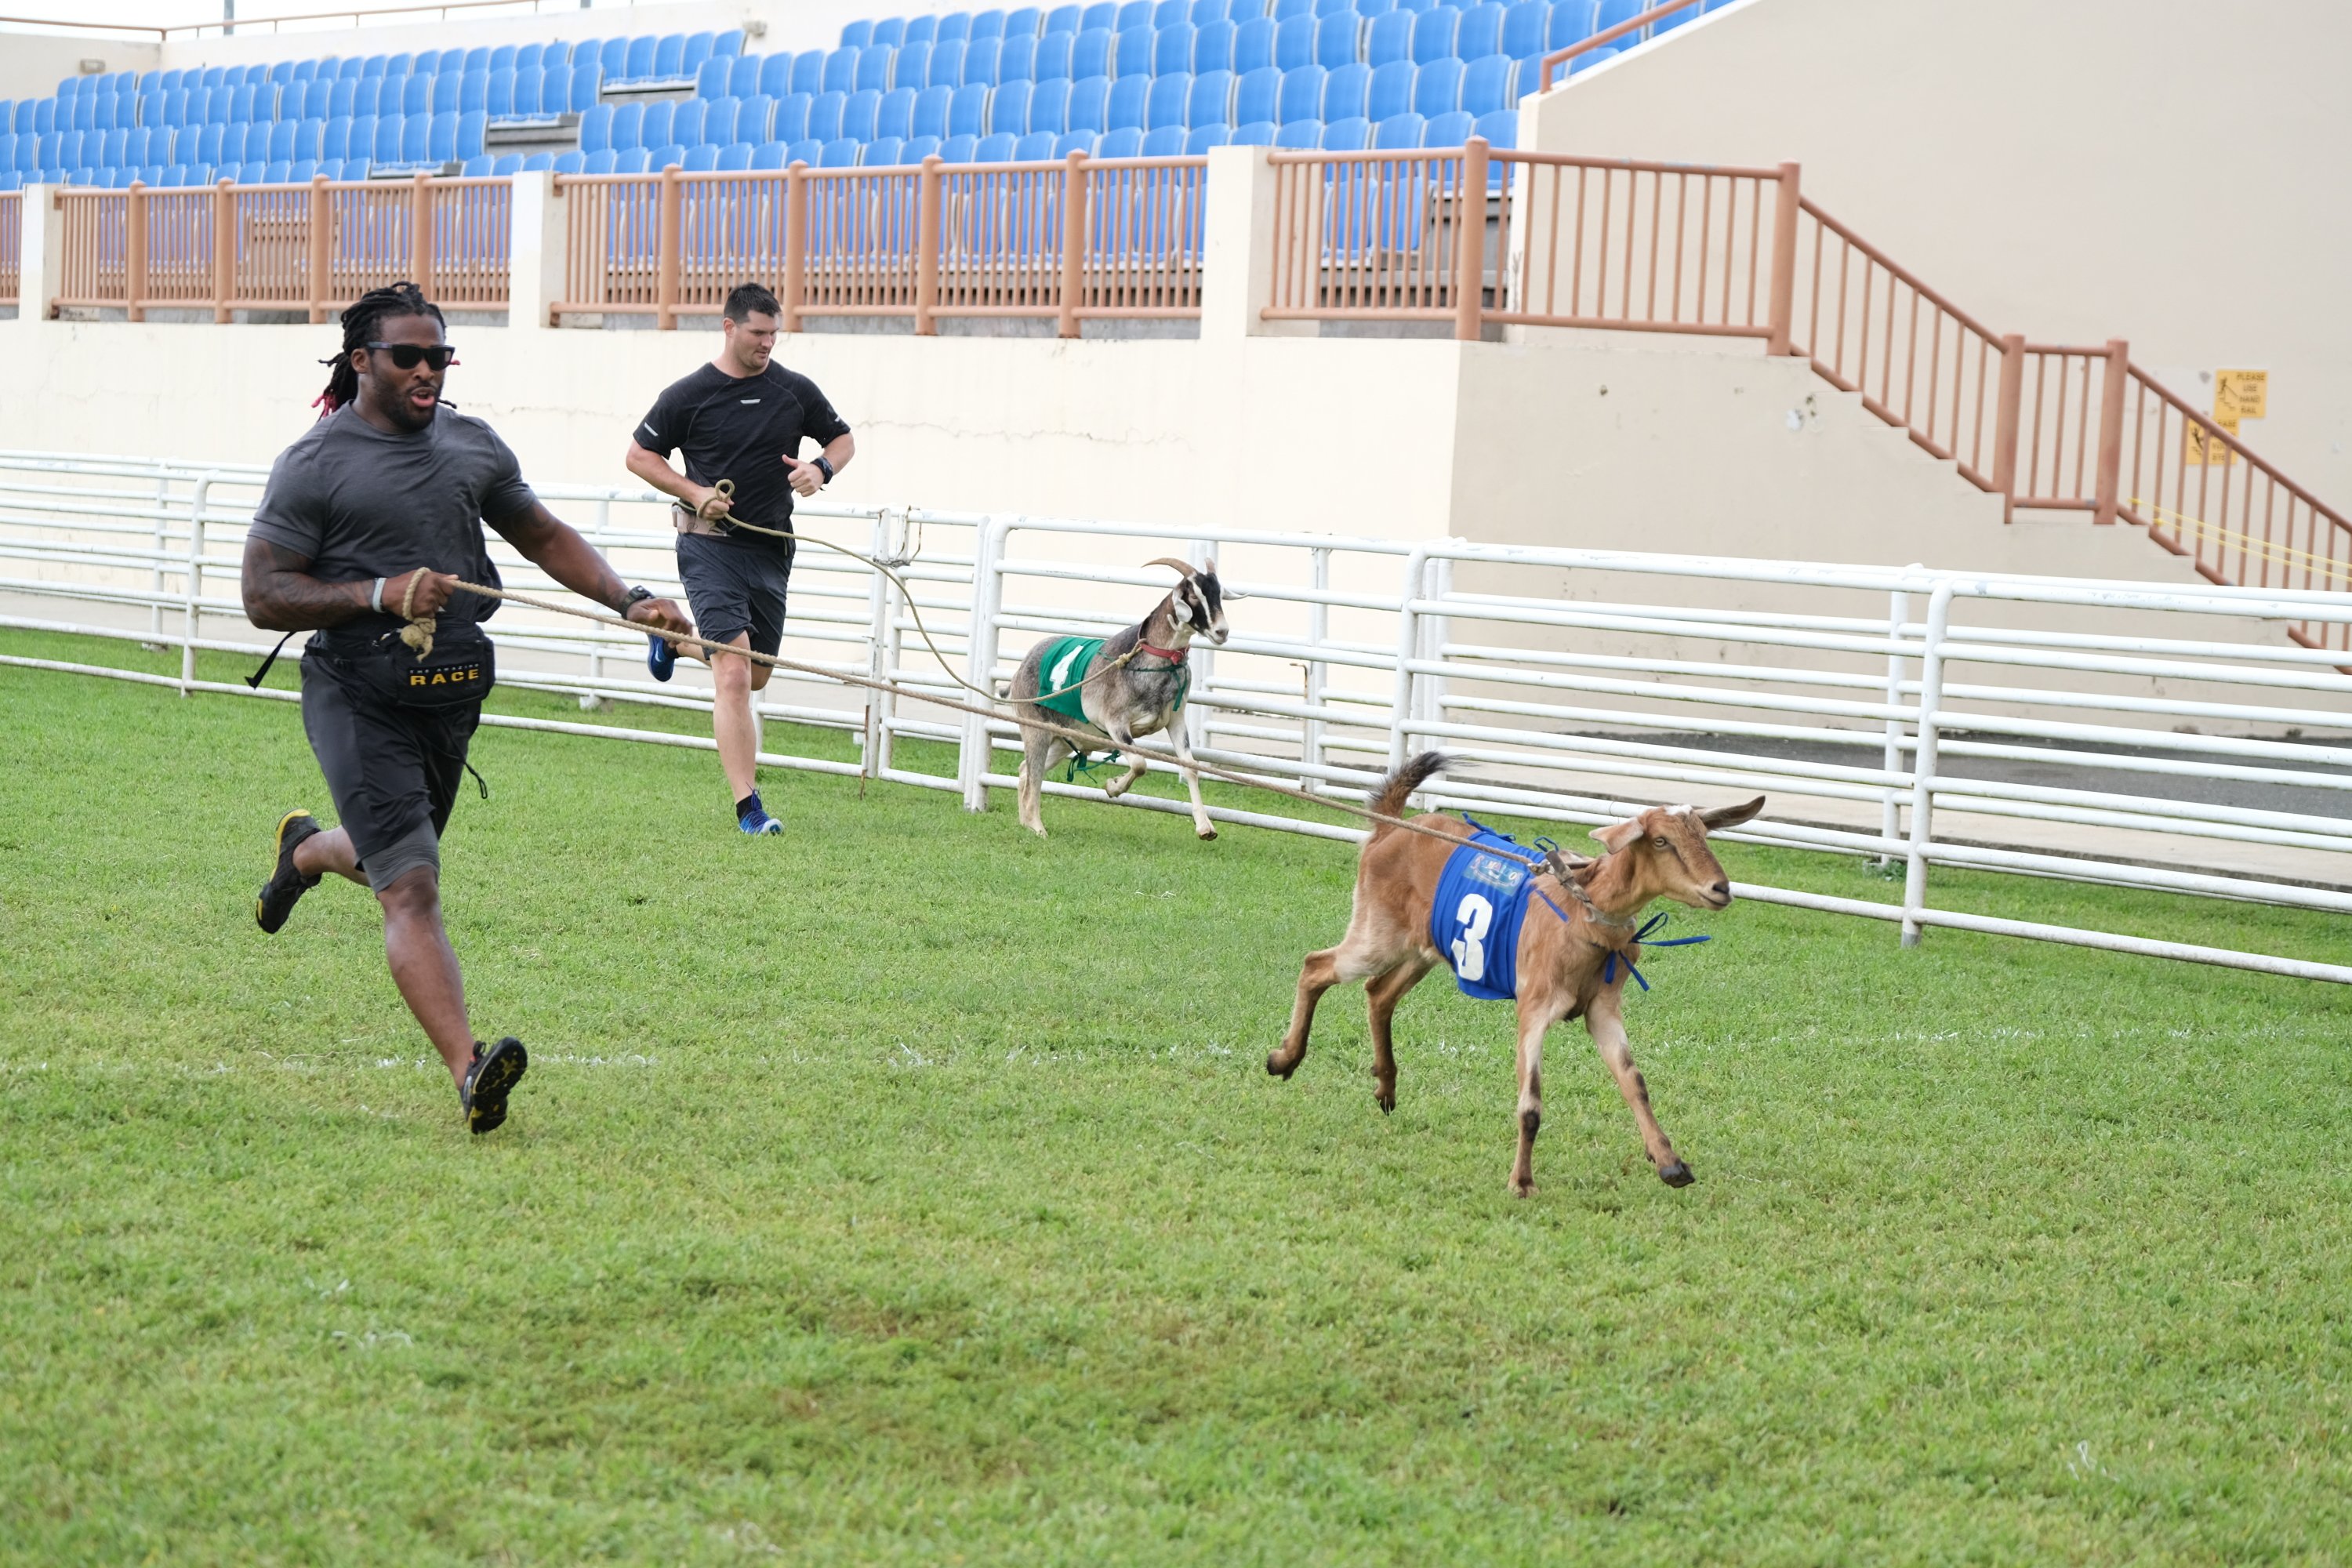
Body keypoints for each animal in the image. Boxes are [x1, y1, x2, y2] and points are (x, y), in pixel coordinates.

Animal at [1002, 557, 1232, 841]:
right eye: (1192, 595)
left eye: (1218, 594)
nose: (1222, 631)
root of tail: (1021, 668)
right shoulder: (1115, 723)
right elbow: (1140, 763)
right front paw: (1112, 787)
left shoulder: (1176, 719)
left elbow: (1190, 766)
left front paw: (1205, 828)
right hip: (1036, 729)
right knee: (1034, 774)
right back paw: (1038, 827)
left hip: (1065, 739)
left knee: (1025, 770)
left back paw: (1026, 824)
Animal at [1279, 752, 1759, 1194]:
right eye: (1661, 840)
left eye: (1703, 835)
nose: (1721, 889)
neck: (1584, 907)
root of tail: (1390, 828)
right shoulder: (1535, 1005)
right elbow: (1531, 1103)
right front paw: (1522, 1182)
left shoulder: (1602, 1008)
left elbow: (1634, 1082)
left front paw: (1670, 1163)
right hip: (1375, 935)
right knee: (1317, 966)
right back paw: (1283, 1059)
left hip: (1424, 949)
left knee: (1378, 993)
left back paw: (1385, 1089)